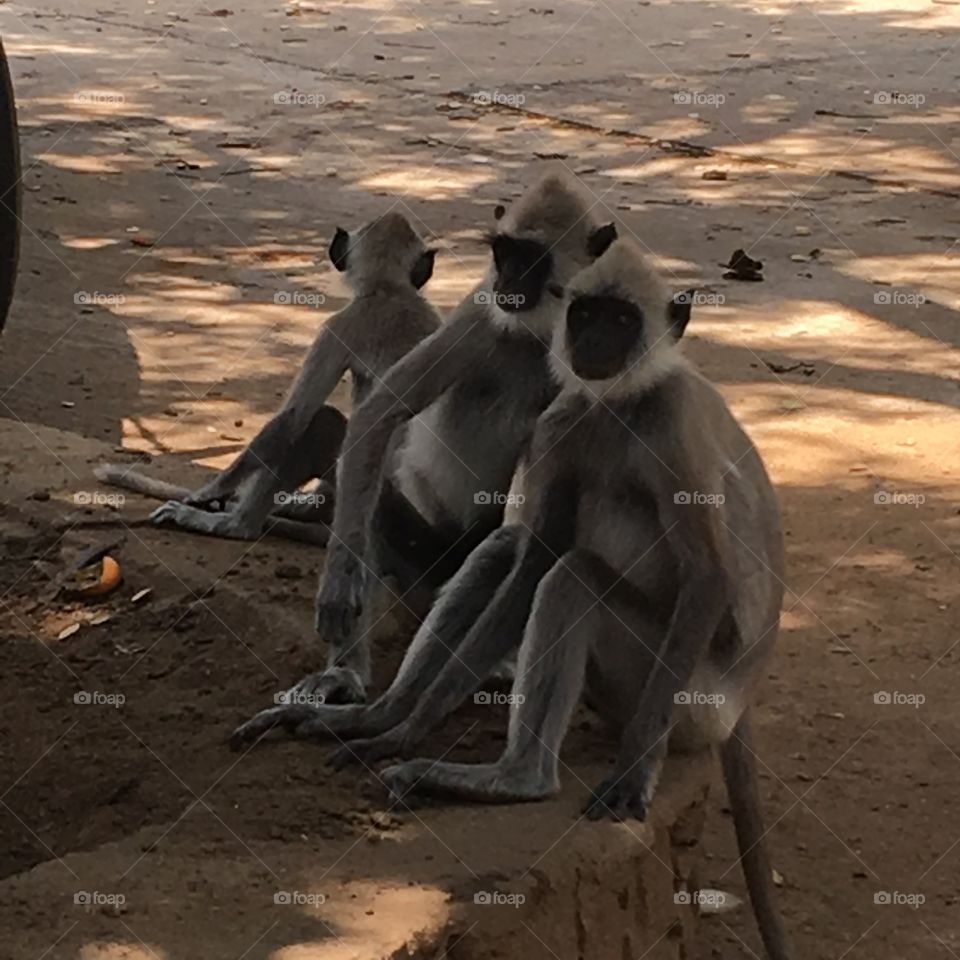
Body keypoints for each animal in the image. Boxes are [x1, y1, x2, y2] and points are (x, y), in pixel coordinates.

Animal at [94, 212, 441, 543]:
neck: (391, 290)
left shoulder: (338, 327)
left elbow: (295, 417)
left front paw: (210, 492)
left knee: (319, 422)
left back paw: (237, 525)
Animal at [230, 165, 619, 728]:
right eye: (504, 254)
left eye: (533, 260)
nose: (507, 283)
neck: (537, 332)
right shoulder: (477, 315)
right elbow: (379, 416)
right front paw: (338, 586)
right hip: (415, 558)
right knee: (369, 498)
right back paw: (344, 673)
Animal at [237, 236, 790, 960]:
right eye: (585, 315)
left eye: (621, 321)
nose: (592, 343)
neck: (621, 403)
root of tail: (739, 701)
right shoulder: (564, 417)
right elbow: (531, 559)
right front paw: (402, 730)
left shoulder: (672, 423)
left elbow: (706, 580)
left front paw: (631, 775)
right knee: (513, 552)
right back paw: (380, 715)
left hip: (687, 695)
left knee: (577, 577)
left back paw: (518, 779)